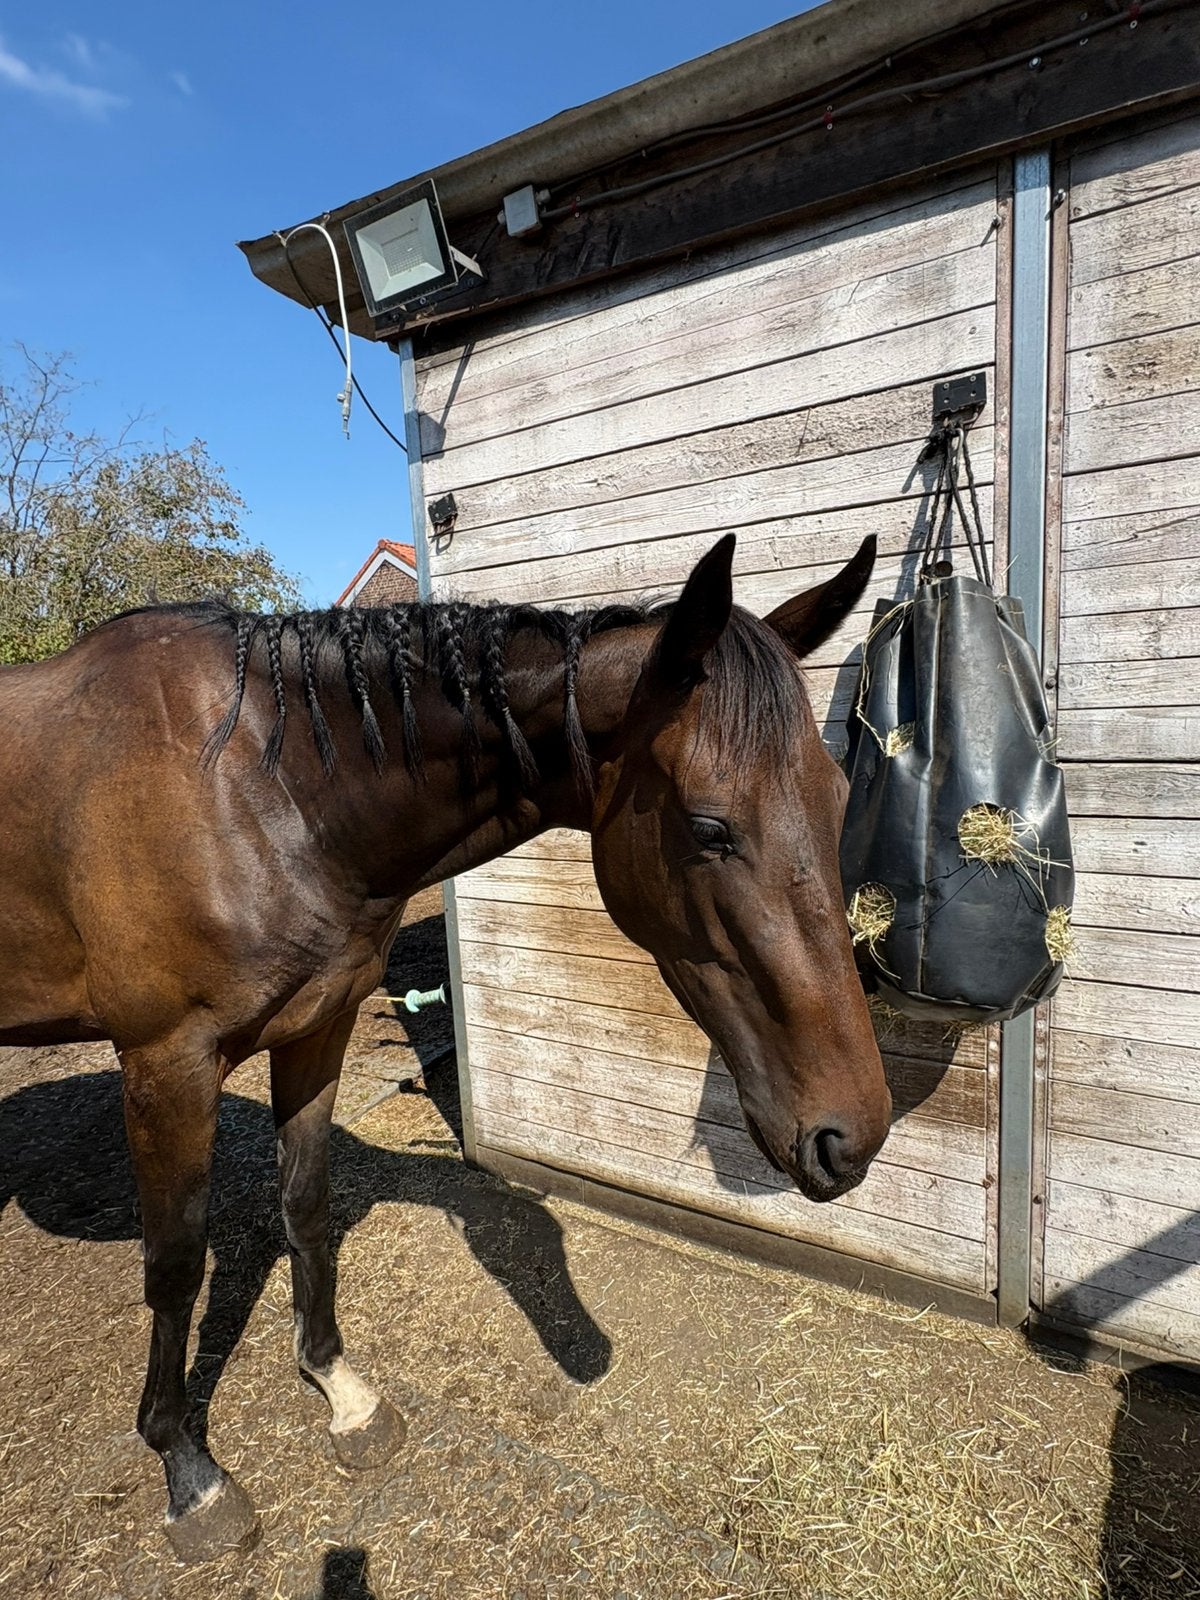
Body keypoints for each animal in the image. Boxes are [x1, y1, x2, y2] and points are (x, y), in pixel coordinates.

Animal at [0, 530, 890, 1562]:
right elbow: (176, 1265)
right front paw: (189, 1474)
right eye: (711, 827)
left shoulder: (319, 1027)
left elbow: (306, 1205)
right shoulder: (165, 1067)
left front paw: (340, 1393)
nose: (852, 1135)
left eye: (840, 795)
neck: (257, 789)